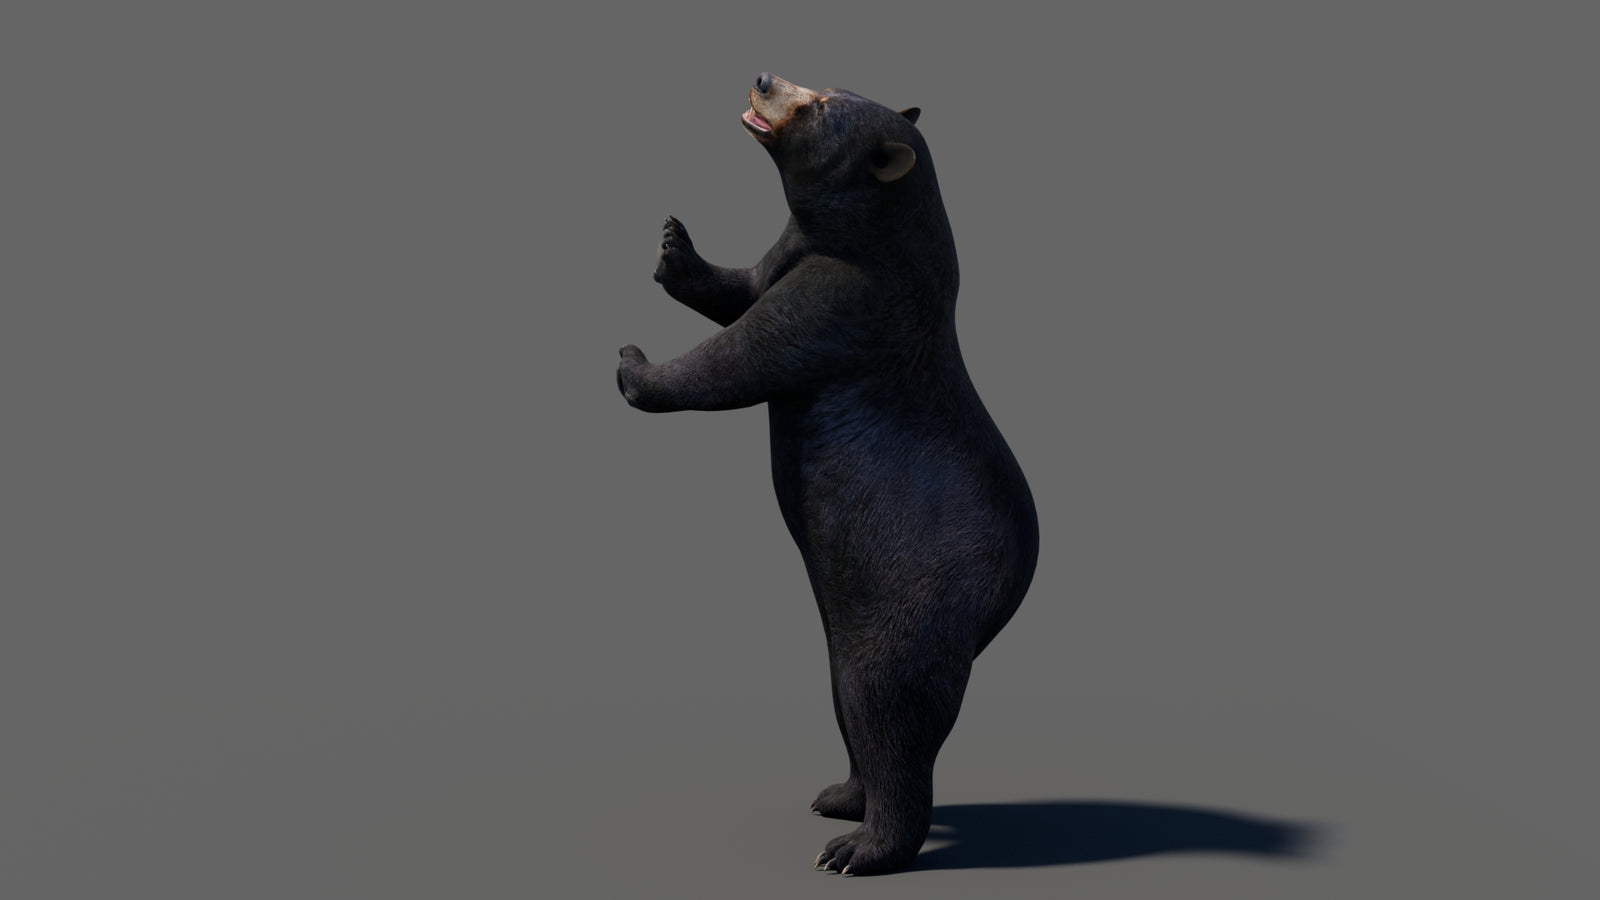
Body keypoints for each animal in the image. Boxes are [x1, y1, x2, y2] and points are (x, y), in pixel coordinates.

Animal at [617, 72, 1038, 876]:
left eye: (816, 106)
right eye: (824, 82)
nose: (762, 77)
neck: (871, 234)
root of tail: (1005, 599)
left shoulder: (850, 298)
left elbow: (744, 355)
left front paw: (634, 366)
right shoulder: (797, 251)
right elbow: (743, 287)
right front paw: (673, 245)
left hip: (913, 602)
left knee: (887, 706)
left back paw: (859, 848)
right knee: (851, 702)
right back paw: (840, 797)